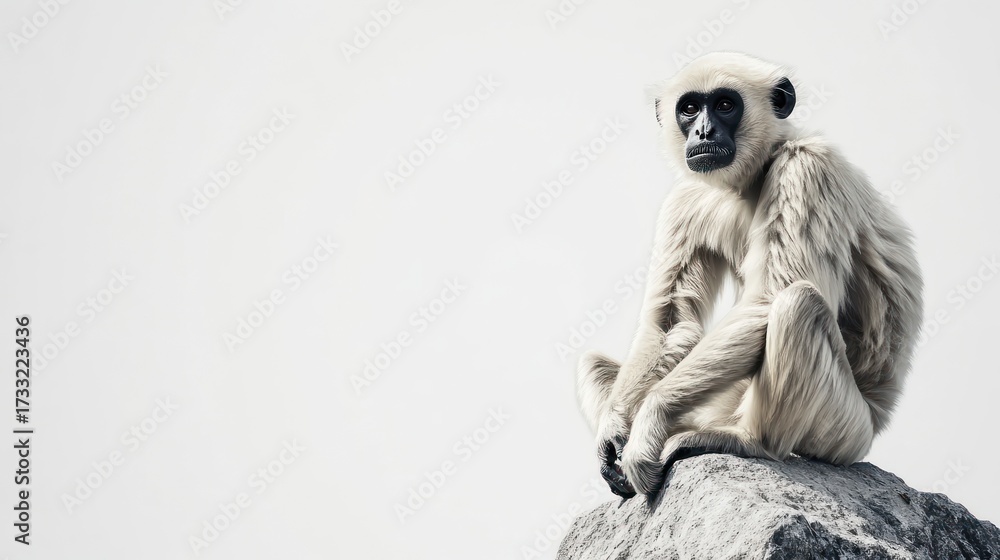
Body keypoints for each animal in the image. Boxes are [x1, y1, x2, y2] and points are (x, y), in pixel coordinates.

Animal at [576, 52, 923, 501]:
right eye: (690, 109)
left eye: (725, 105)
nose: (704, 131)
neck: (756, 173)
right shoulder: (687, 195)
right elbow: (670, 324)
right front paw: (616, 430)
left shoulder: (806, 166)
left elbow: (769, 298)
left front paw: (650, 418)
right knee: (595, 361)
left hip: (844, 429)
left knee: (796, 302)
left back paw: (753, 442)